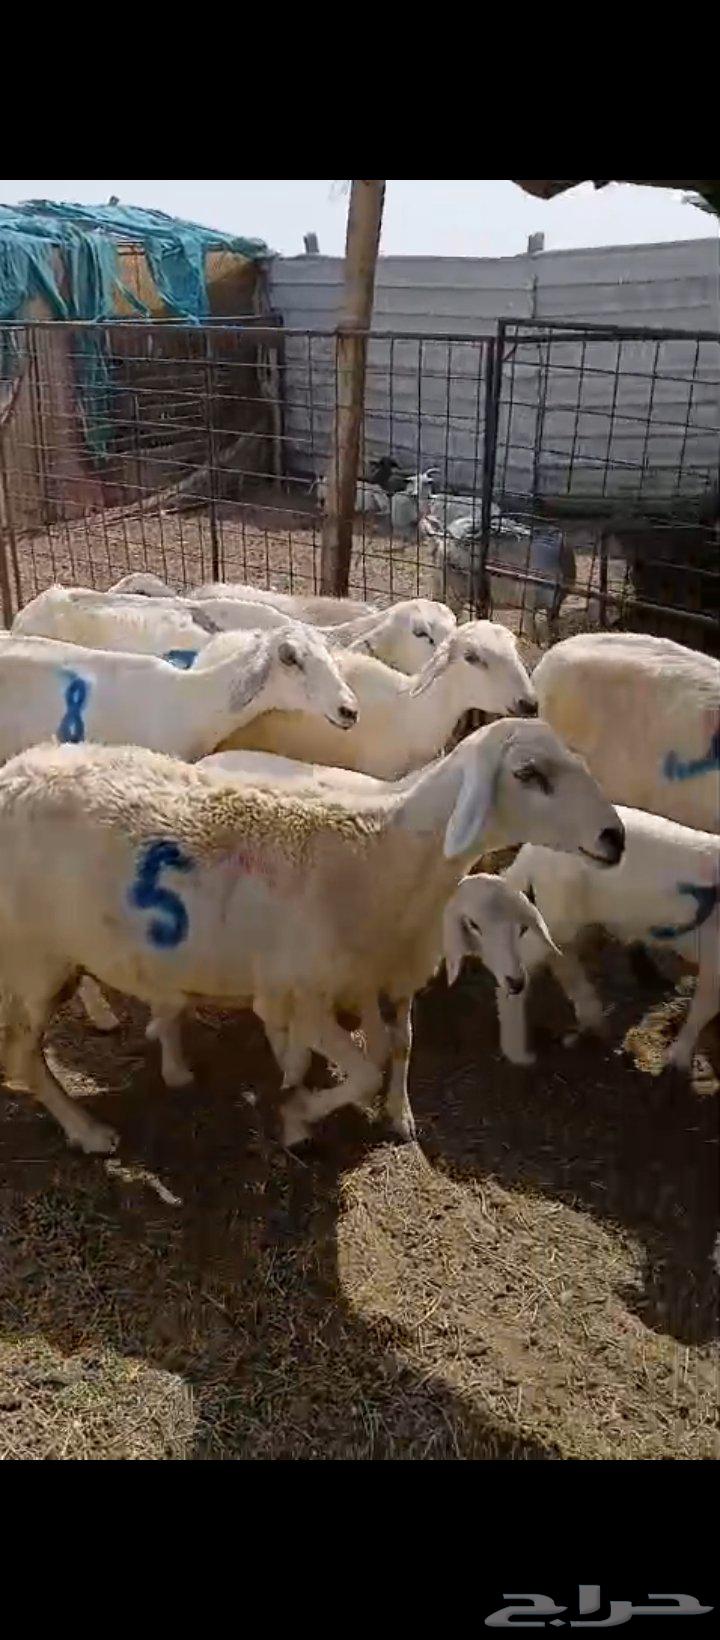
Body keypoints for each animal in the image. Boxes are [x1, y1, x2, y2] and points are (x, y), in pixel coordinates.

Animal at [0, 721, 624, 1154]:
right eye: (528, 774)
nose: (614, 837)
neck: (376, 855)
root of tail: (15, 771)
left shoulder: (354, 986)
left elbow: (385, 1050)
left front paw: (304, 1103)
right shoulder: (300, 994)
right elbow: (367, 1069)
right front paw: (297, 1115)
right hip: (34, 960)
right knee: (21, 1056)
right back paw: (88, 1132)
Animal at [494, 807, 719, 1073]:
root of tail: (529, 853)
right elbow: (703, 1008)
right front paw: (679, 1059)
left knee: (562, 956)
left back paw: (592, 1019)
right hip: (557, 912)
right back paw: (515, 1045)